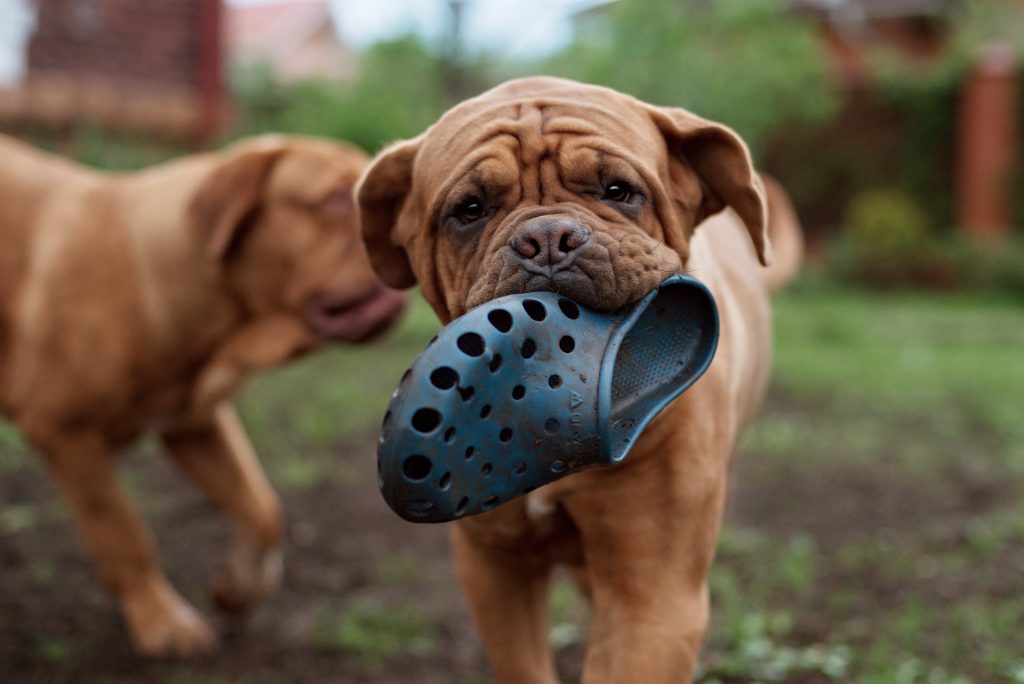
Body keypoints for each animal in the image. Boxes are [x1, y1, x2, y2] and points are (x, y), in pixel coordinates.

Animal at [0, 132, 407, 655]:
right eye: (337, 199)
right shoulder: (65, 432)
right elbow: (122, 532)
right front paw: (161, 619)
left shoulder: (195, 423)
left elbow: (262, 508)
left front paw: (238, 588)